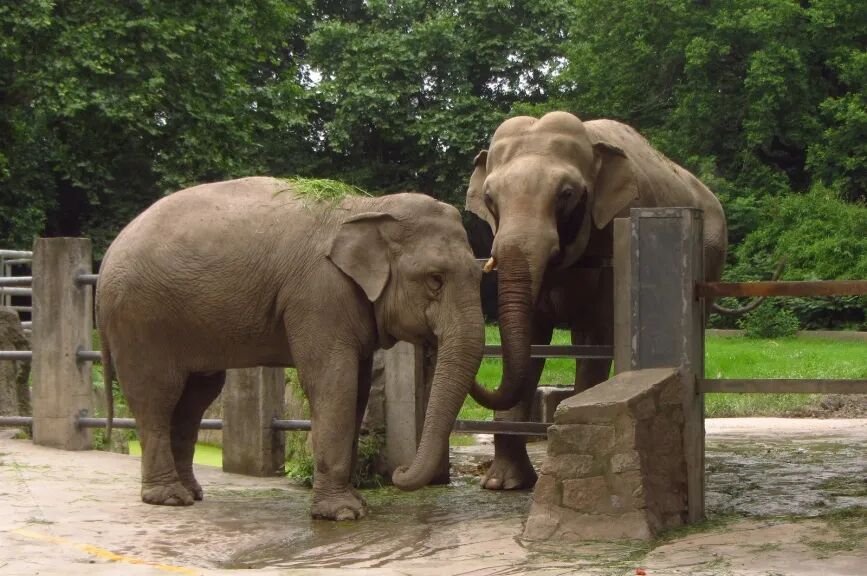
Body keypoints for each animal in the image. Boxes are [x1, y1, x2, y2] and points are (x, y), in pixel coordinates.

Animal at [96, 176, 484, 520]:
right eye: (435, 280)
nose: (400, 472)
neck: (370, 206)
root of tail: (106, 259)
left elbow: (357, 389)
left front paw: (357, 504)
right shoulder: (318, 295)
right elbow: (333, 383)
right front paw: (343, 513)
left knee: (195, 398)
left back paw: (192, 493)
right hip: (141, 319)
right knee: (157, 397)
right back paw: (168, 498)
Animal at [465, 111, 726, 490]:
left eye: (566, 194)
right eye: (489, 198)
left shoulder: (613, 245)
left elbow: (593, 337)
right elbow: (531, 340)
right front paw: (503, 485)